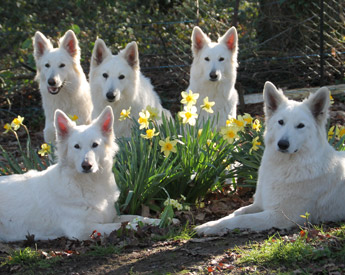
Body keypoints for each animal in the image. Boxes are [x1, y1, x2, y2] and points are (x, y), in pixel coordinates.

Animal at [195, 81, 344, 236]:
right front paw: (212, 223)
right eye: (281, 122)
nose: (282, 144)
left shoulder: (279, 216)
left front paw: (209, 227)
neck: (284, 166)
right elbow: (236, 213)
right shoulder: (259, 204)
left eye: (300, 126)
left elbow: (241, 219)